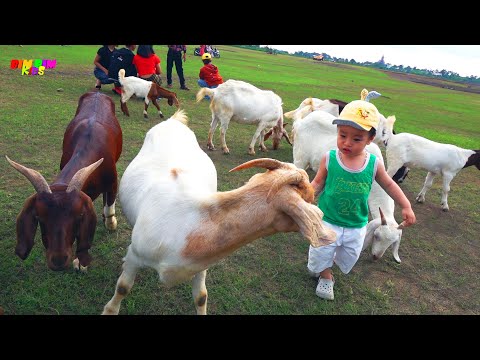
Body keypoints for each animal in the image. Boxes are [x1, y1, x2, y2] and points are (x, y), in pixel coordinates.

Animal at [6, 91, 122, 272]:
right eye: (39, 216)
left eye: (79, 215)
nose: (59, 260)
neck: (88, 145)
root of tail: (97, 91)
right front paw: (79, 262)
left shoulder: (112, 182)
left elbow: (109, 208)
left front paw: (109, 223)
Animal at [101, 109, 336, 316]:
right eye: (305, 195)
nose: (314, 191)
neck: (186, 225)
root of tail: (173, 120)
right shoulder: (136, 255)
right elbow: (123, 286)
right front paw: (109, 310)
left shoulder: (200, 265)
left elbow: (201, 297)